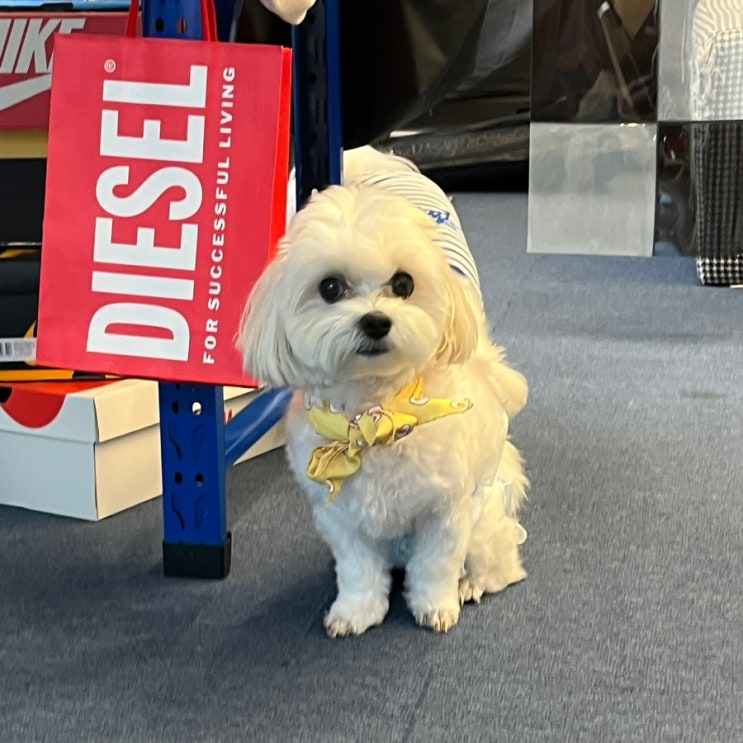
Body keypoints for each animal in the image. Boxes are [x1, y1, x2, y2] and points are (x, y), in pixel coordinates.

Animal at [238, 146, 529, 637]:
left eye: (403, 284)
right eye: (330, 287)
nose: (375, 321)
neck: (373, 417)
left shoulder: (445, 513)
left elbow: (435, 566)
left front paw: (435, 606)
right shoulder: (339, 517)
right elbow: (357, 570)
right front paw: (355, 612)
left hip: (485, 520)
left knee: (502, 563)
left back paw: (472, 582)